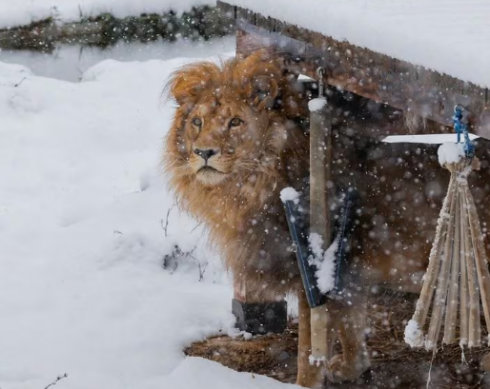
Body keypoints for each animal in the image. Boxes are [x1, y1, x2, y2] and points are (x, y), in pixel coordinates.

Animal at [164, 50, 490, 384]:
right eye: (197, 122)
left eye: (235, 122)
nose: (204, 152)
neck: (251, 185)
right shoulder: (349, 275)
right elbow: (351, 328)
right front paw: (350, 368)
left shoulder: (312, 275)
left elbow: (309, 351)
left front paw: (304, 384)